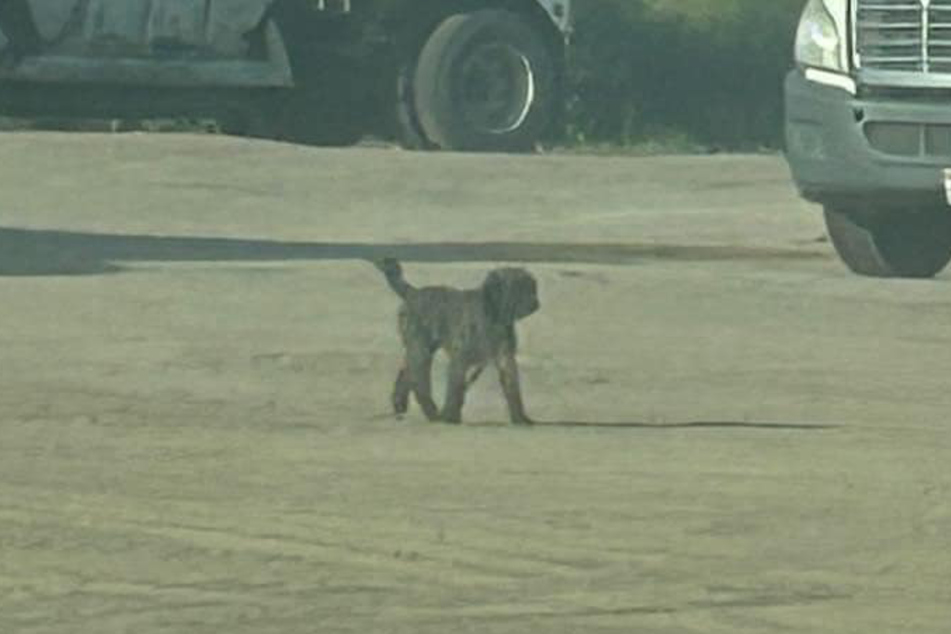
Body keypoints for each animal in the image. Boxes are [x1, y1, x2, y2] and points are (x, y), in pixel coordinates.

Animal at [378, 256, 544, 424]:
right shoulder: (460, 358)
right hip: (420, 349)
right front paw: (450, 416)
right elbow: (456, 388)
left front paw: (520, 418)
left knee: (406, 373)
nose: (536, 304)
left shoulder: (504, 357)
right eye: (518, 288)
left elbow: (512, 389)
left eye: (531, 286)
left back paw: (400, 405)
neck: (492, 314)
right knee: (419, 381)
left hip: (421, 349)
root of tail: (413, 292)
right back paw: (433, 413)